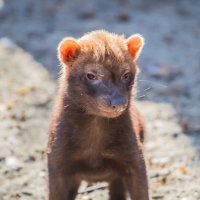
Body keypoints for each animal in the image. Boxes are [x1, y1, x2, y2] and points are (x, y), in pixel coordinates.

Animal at [47, 30, 149, 200]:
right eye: (91, 75)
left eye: (126, 74)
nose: (119, 102)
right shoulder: (57, 162)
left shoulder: (135, 160)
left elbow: (141, 193)